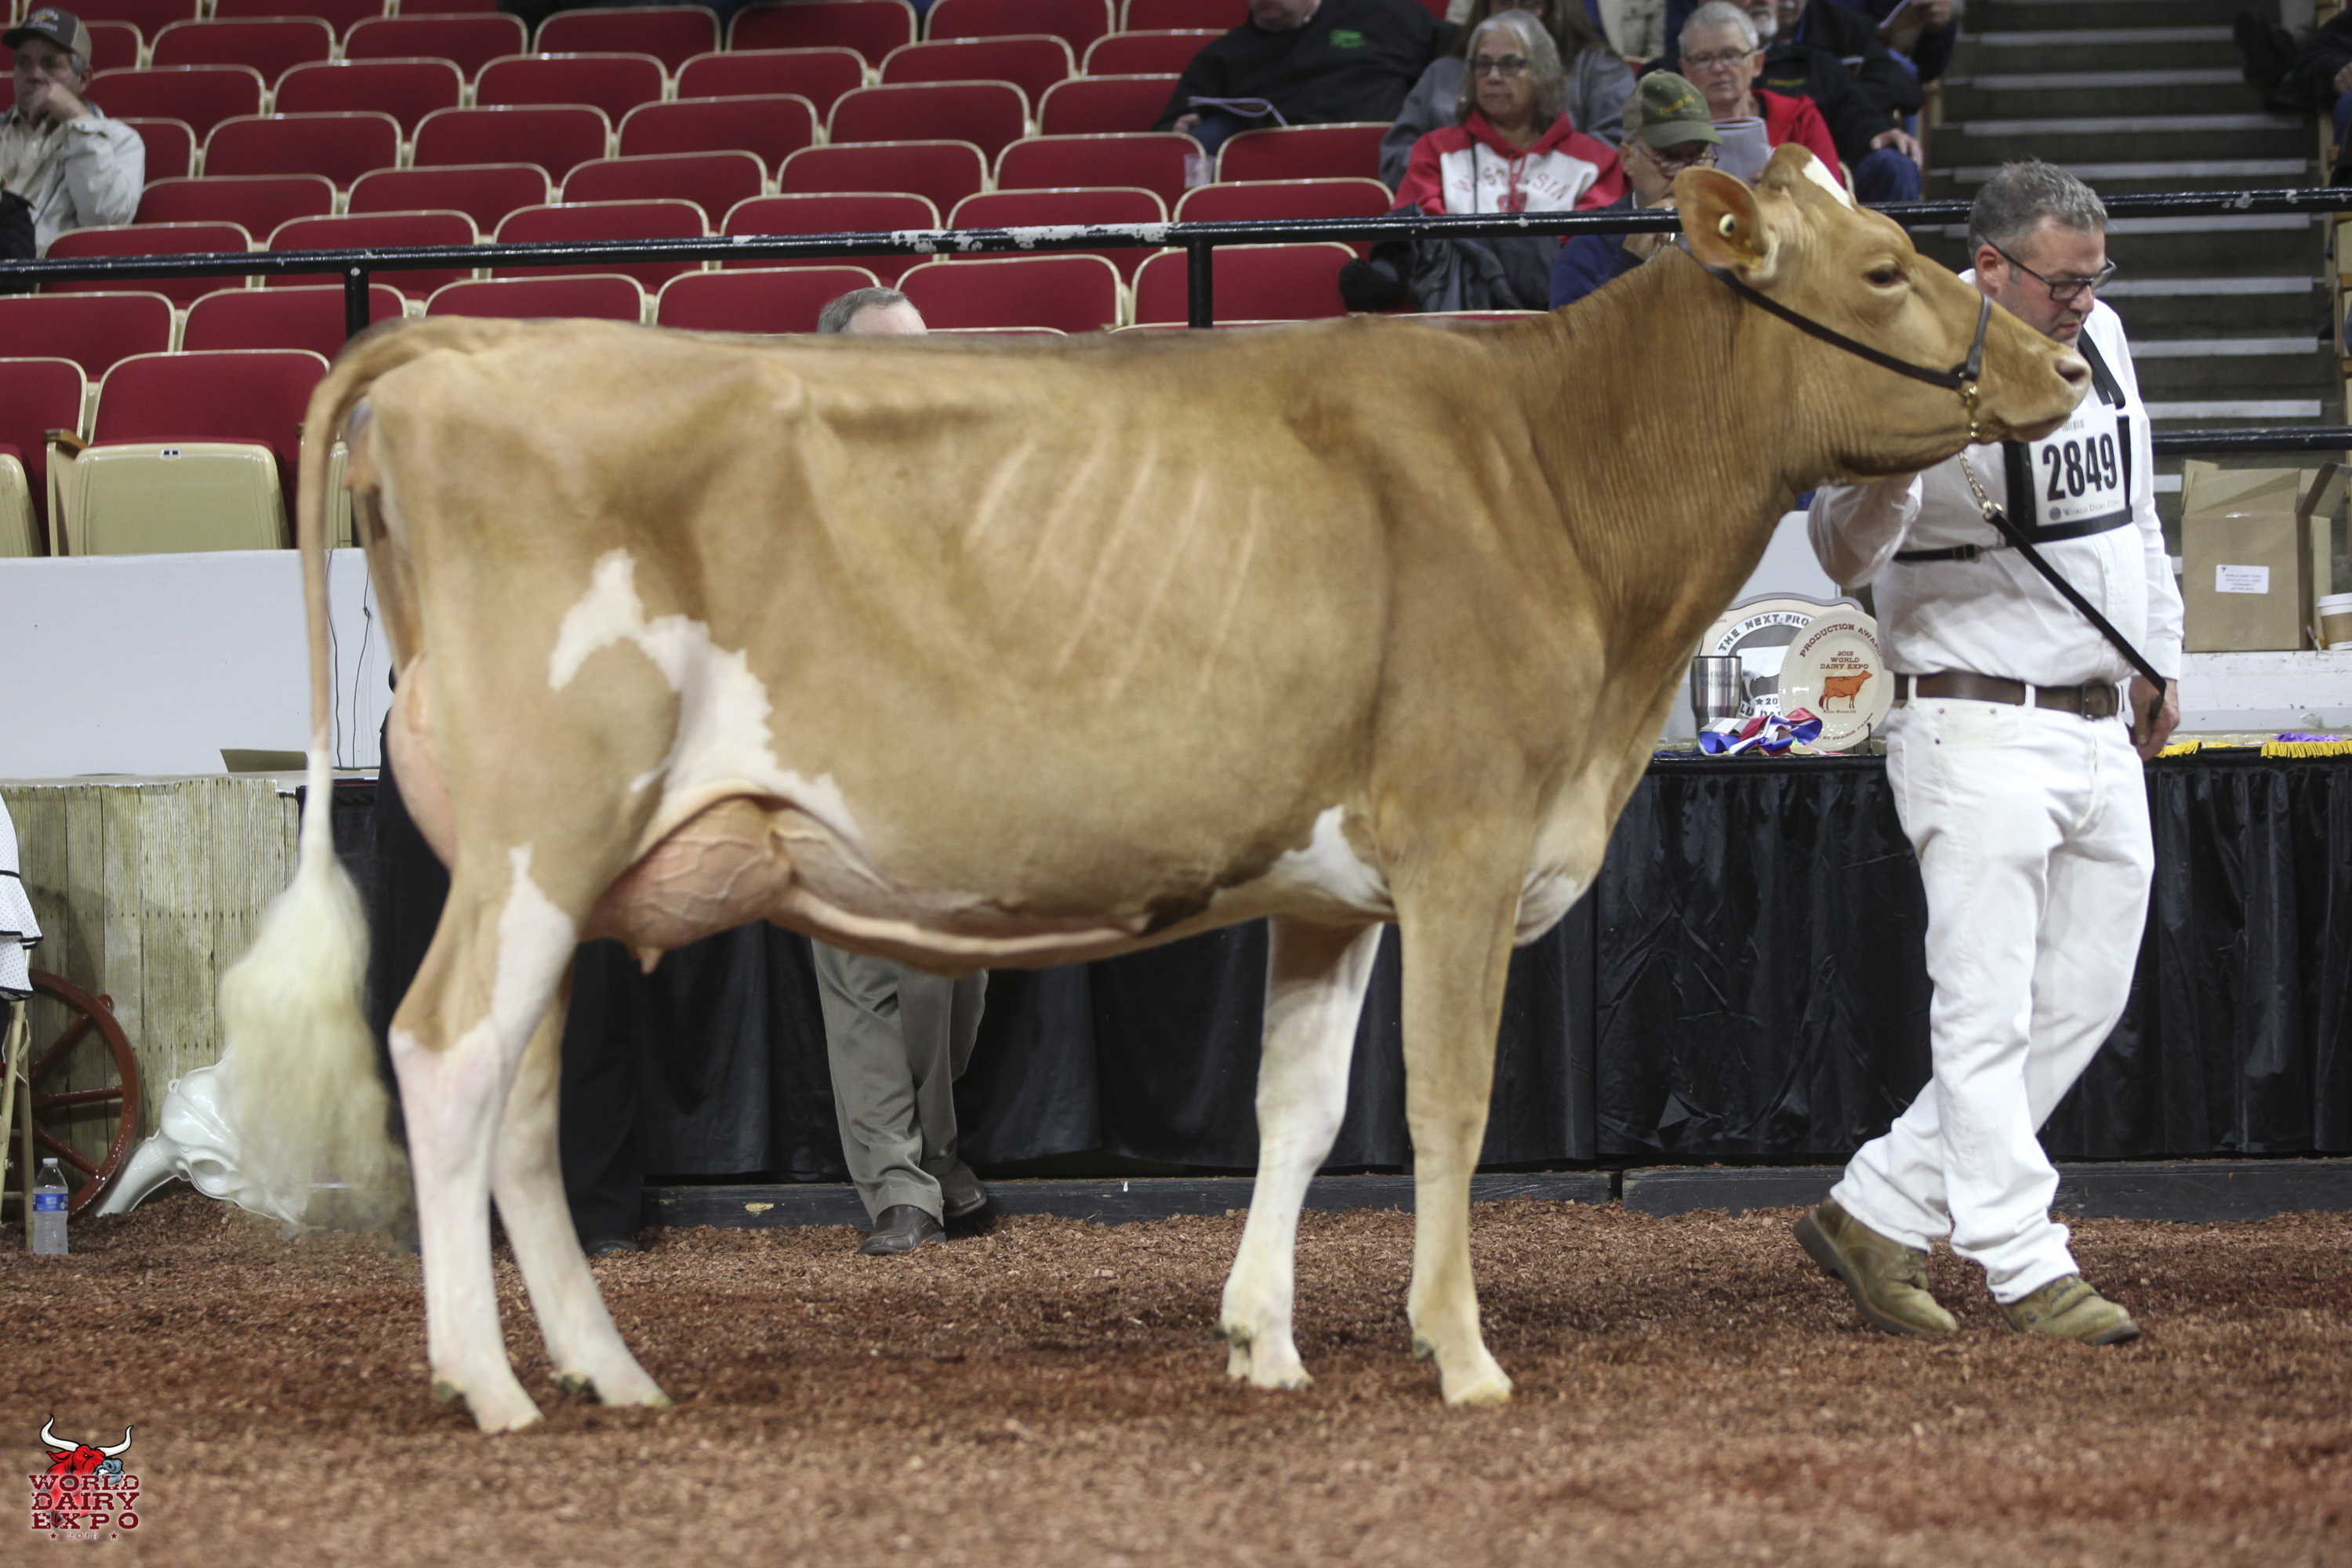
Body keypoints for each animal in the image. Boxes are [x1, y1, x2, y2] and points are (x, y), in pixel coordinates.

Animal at [215, 149, 2089, 1433]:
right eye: (1884, 266)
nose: (2066, 367)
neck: (1558, 487)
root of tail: (463, 345)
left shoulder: (1334, 885)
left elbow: (1299, 1110)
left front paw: (1266, 1337)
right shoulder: (1467, 842)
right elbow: (1449, 1105)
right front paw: (1462, 1351)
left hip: (563, 864)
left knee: (519, 1104)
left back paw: (608, 1370)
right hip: (542, 824)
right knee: (443, 1054)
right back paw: (487, 1384)